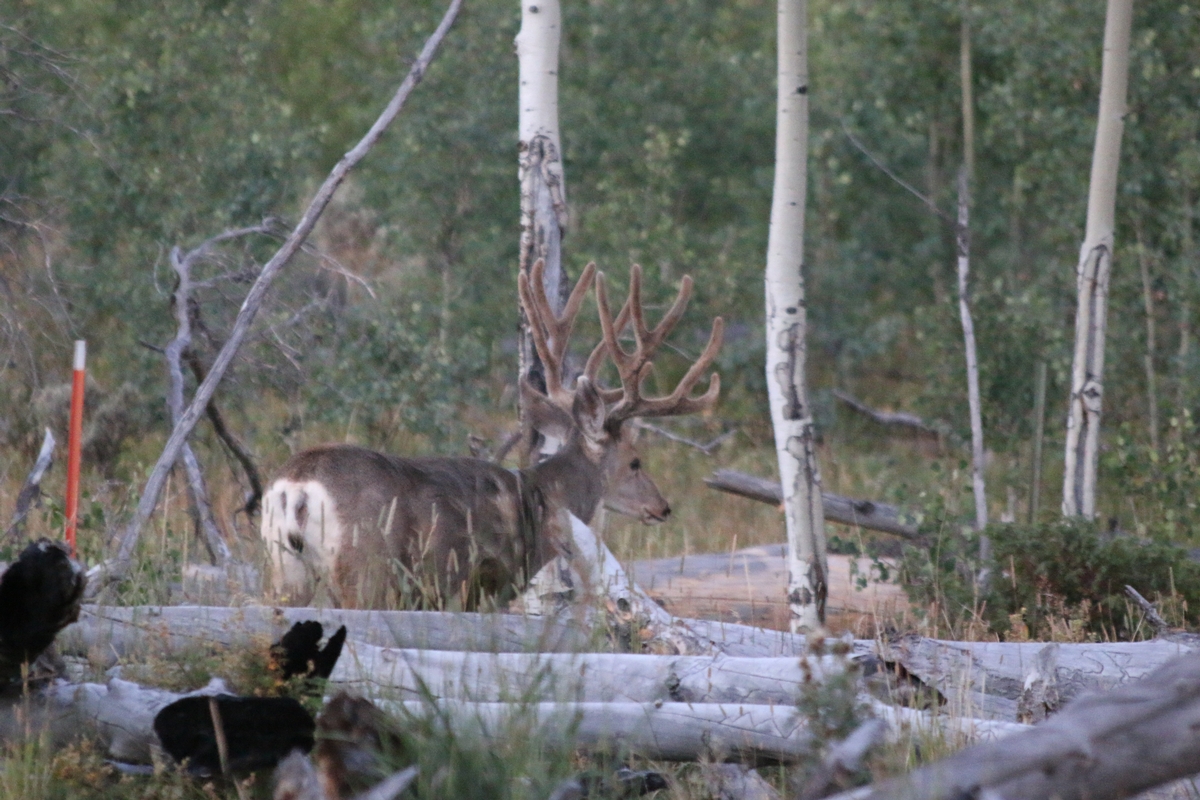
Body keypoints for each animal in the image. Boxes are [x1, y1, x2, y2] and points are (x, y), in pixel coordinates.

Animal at [259, 259, 723, 609]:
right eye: (635, 461)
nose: (662, 507)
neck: (541, 502)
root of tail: (296, 486)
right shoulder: (485, 584)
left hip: (285, 570)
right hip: (366, 568)